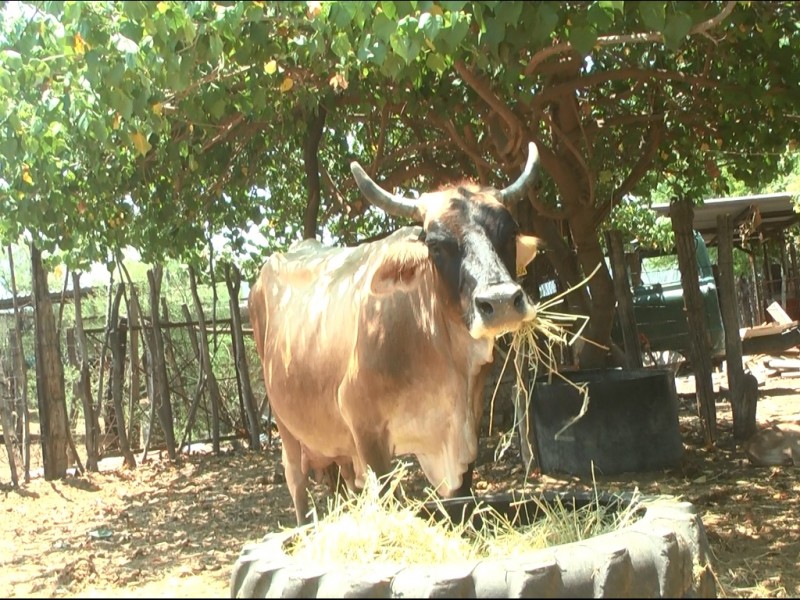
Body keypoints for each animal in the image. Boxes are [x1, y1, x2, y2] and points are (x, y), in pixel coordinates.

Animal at [250, 143, 544, 524]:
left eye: (509, 232)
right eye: (436, 245)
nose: (501, 301)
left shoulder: (466, 434)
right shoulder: (367, 432)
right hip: (286, 427)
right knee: (296, 483)